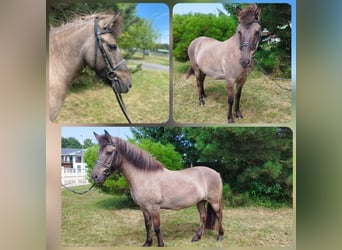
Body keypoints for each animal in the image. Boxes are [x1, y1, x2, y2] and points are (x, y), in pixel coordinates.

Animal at [91, 130, 224, 247]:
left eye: (109, 152)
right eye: (98, 152)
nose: (95, 176)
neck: (144, 177)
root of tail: (216, 173)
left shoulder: (154, 207)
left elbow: (157, 227)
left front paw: (160, 244)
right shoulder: (143, 208)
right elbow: (148, 225)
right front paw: (147, 243)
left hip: (214, 201)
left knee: (219, 215)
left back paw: (220, 236)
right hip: (200, 201)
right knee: (203, 216)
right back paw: (197, 237)